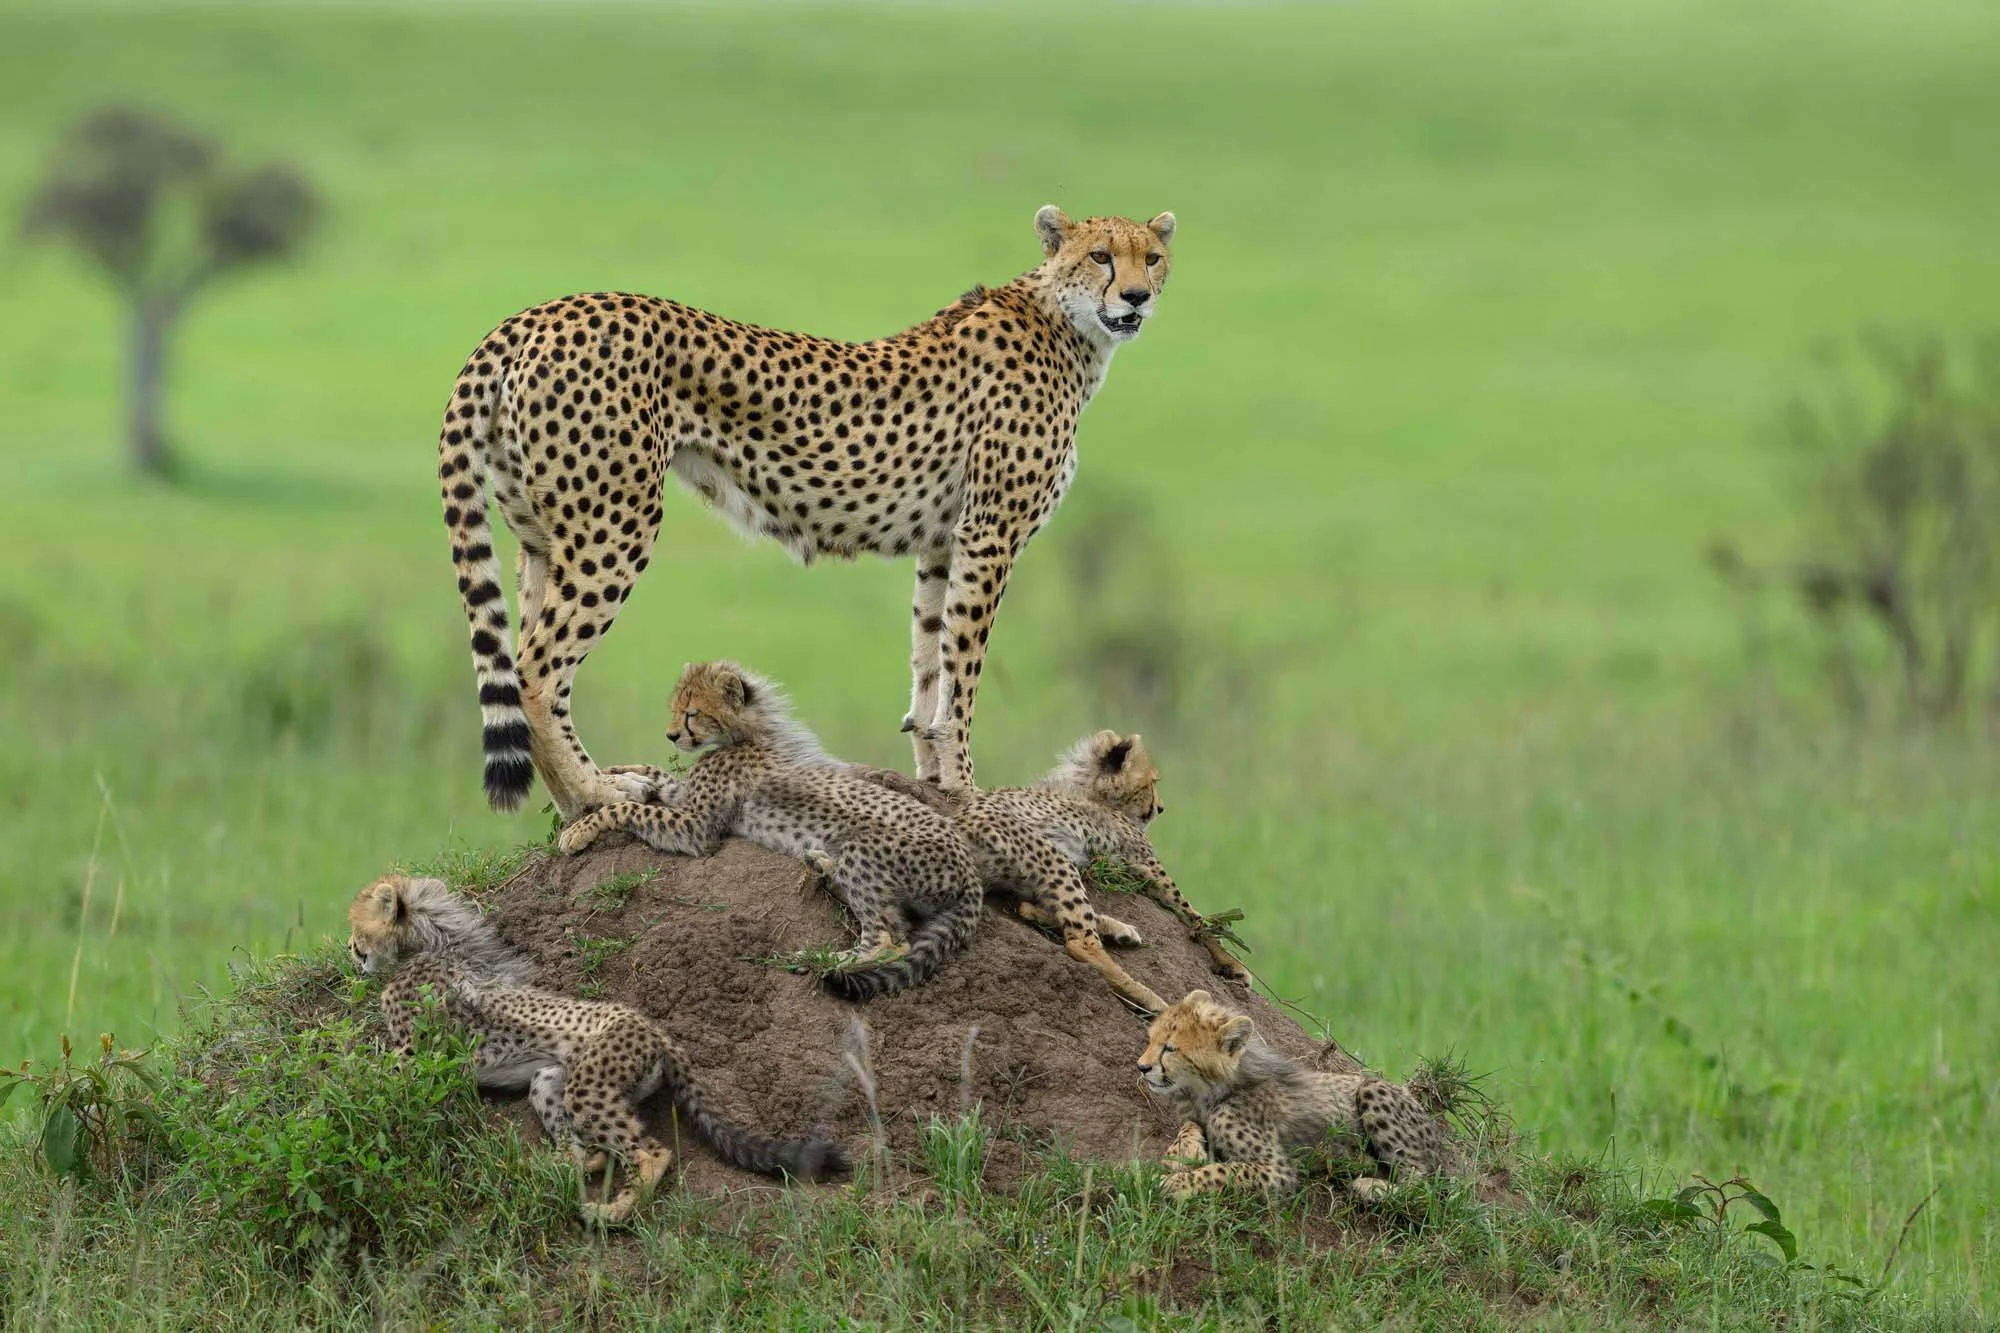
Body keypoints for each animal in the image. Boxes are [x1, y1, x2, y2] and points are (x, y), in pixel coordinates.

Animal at [347, 873, 847, 1224]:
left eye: (356, 928)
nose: (352, 950)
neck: (426, 948)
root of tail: (655, 1028)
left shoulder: (415, 1054)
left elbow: (373, 1073)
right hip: (550, 1078)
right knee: (590, 1151)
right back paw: (556, 1167)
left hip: (591, 1085)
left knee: (650, 1153)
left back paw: (612, 1213)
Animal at [437, 205, 1176, 820]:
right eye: (1102, 256)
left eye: (1152, 258)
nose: (1136, 297)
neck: (1066, 325)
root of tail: (537, 312)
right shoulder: (989, 535)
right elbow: (962, 675)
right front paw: (968, 789)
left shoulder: (944, 542)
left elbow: (928, 665)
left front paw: (934, 782)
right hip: (613, 526)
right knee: (536, 671)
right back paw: (596, 793)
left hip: (541, 534)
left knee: (527, 656)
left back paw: (578, 802)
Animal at [555, 661, 984, 1001]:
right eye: (676, 710)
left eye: (691, 713)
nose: (672, 735)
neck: (748, 733)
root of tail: (971, 872)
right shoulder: (685, 797)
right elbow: (653, 777)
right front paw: (618, 774)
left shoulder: (697, 829)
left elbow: (629, 808)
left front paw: (579, 831)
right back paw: (822, 864)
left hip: (867, 851)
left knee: (890, 942)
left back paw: (821, 957)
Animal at [951, 731, 1252, 1015]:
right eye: (1151, 783)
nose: (1161, 808)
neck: (1092, 792)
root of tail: (957, 824)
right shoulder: (1149, 864)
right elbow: (1195, 915)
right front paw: (1234, 964)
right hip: (1054, 860)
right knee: (1081, 943)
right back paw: (1150, 998)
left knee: (1031, 908)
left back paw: (1121, 931)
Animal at [1137, 990, 1449, 1201]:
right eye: (1150, 1040)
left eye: (1170, 1048)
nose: (1142, 1067)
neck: (1210, 1089)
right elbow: (1187, 1126)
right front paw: (1182, 1152)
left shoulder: (1278, 1169)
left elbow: (1221, 1171)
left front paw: (1175, 1183)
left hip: (1373, 1089)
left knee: (1424, 1186)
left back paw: (1369, 1184)